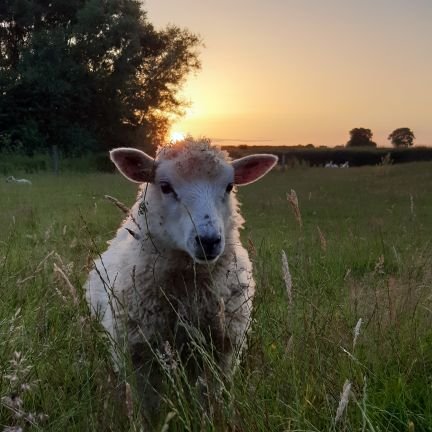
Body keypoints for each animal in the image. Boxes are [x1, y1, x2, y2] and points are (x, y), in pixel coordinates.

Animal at [85, 139, 276, 412]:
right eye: (165, 186)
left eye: (229, 187)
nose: (209, 240)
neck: (187, 293)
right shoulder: (138, 355)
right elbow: (150, 409)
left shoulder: (220, 353)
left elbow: (209, 401)